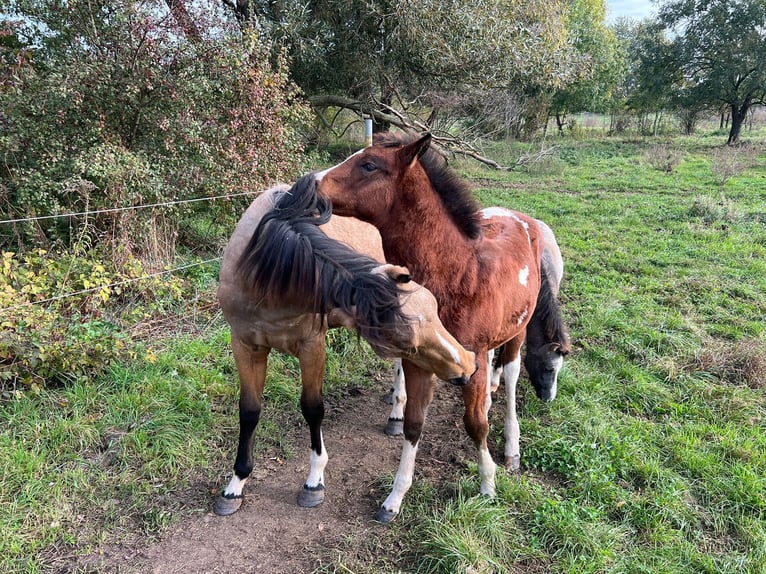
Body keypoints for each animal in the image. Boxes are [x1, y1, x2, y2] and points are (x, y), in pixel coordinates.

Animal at [216, 176, 476, 516]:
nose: (467, 366)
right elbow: (249, 411)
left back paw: (397, 412)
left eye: (434, 307)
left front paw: (314, 481)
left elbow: (312, 408)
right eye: (406, 340)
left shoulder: (312, 346)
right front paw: (236, 483)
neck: (266, 269)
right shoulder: (245, 346)